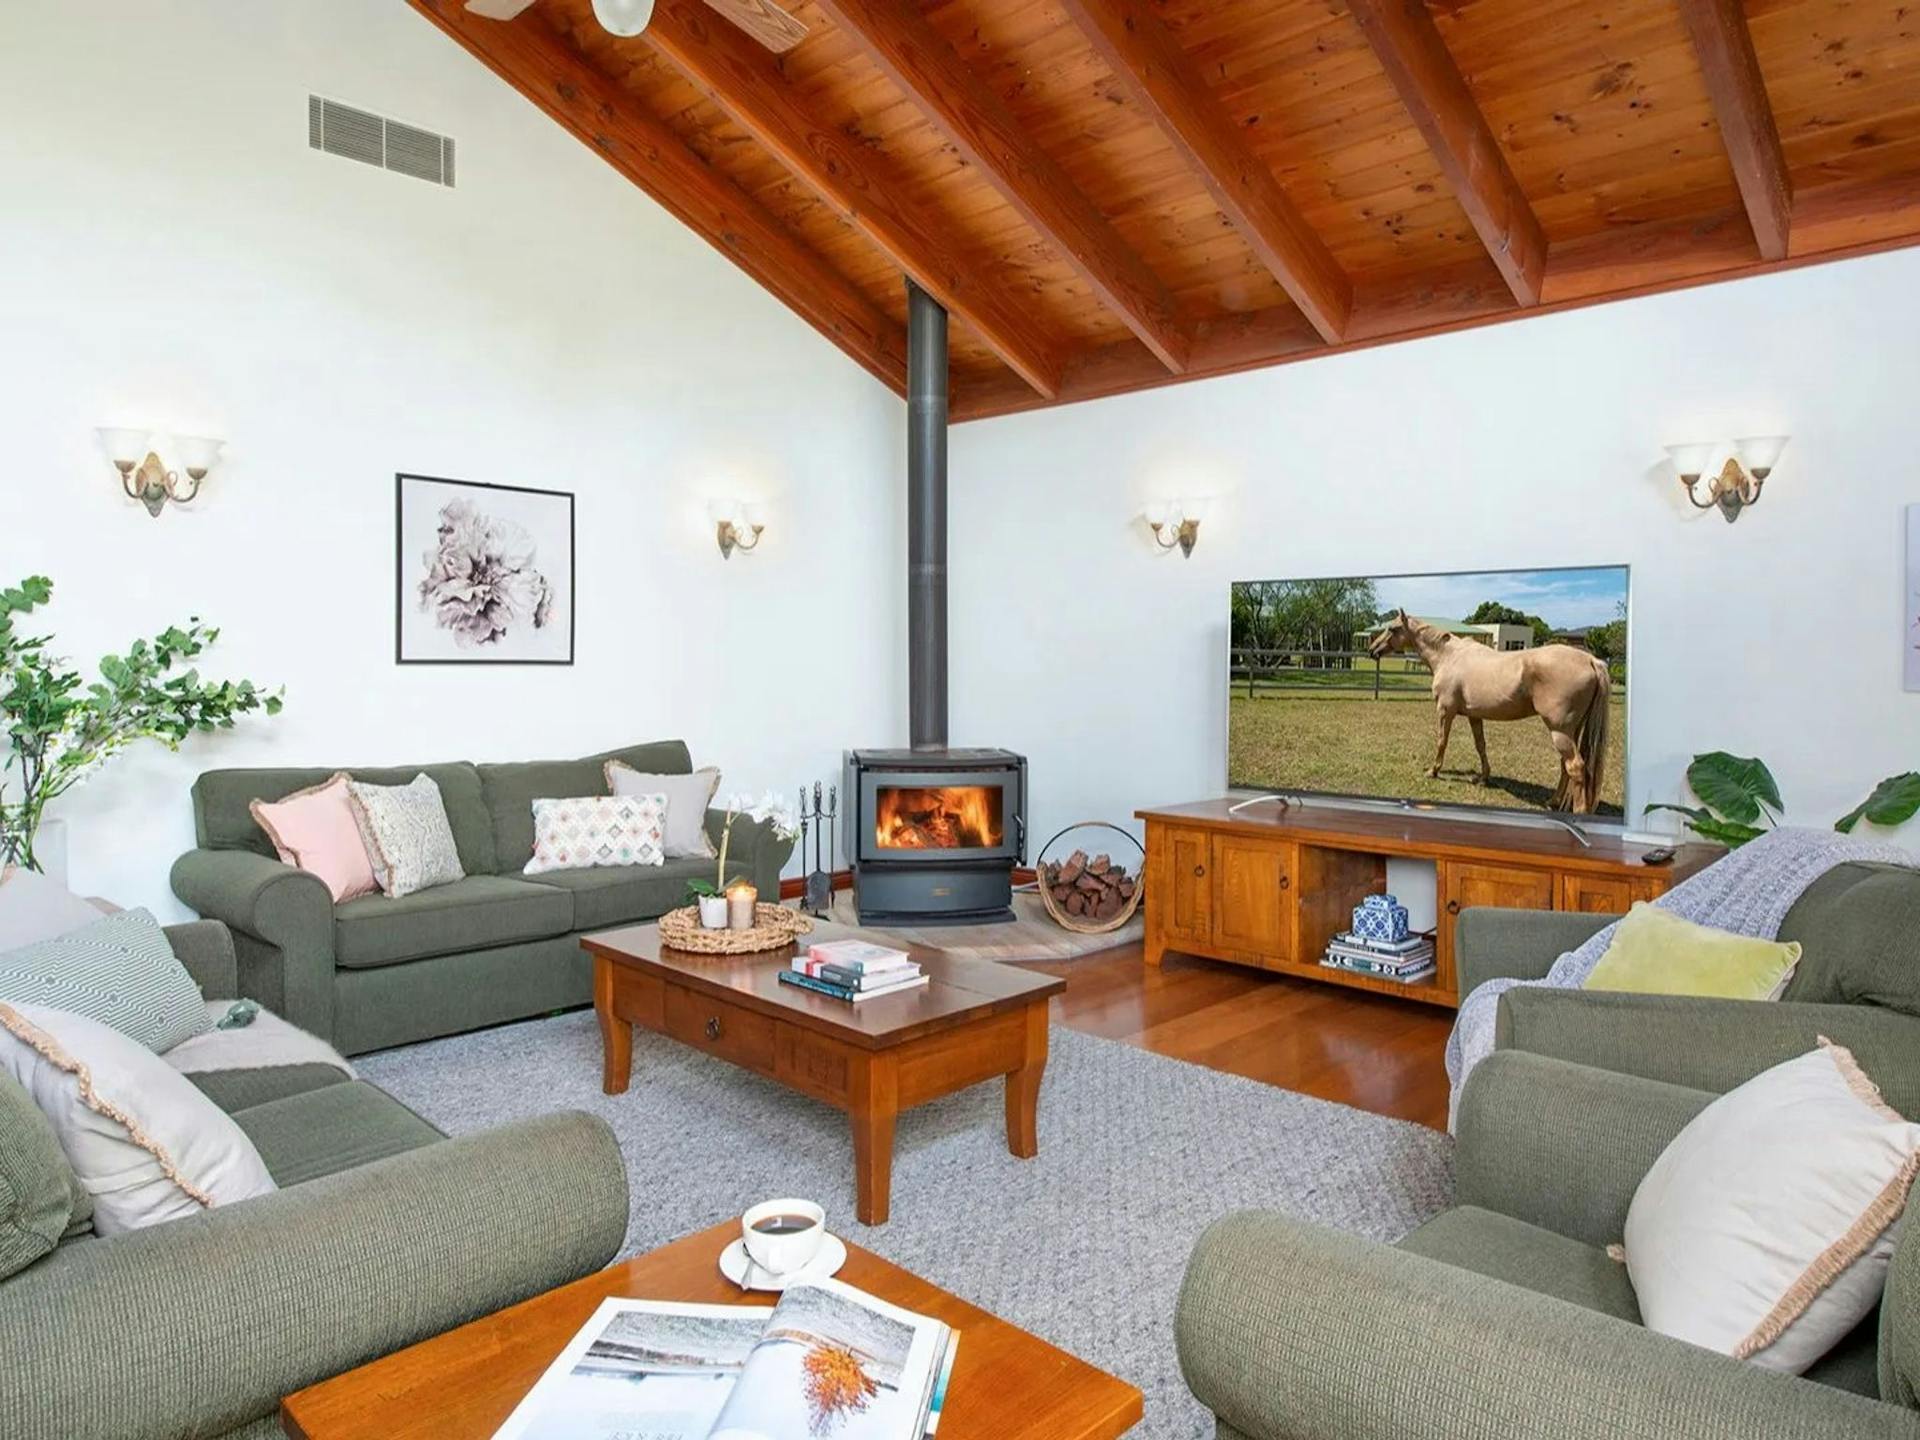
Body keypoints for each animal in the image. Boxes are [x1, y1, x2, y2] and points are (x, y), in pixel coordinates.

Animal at [1367, 609, 1611, 813]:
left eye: (1392, 629)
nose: (1371, 650)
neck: (1448, 656)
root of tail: (1591, 660)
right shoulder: (1475, 716)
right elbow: (1480, 745)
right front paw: (1483, 778)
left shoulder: (1445, 711)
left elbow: (1442, 741)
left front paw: (1433, 771)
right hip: (1570, 731)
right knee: (1565, 766)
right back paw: (1553, 801)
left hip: (1559, 731)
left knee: (1575, 767)